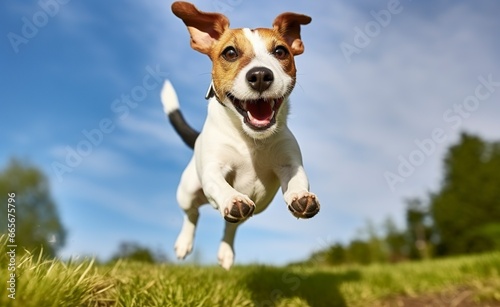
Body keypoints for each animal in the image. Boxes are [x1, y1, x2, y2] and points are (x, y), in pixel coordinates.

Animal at [164, 1, 320, 270]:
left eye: (280, 51)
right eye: (230, 53)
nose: (260, 76)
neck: (252, 139)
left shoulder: (290, 164)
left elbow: (297, 180)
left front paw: (300, 196)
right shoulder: (213, 169)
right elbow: (219, 184)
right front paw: (231, 198)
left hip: (251, 210)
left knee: (231, 227)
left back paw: (226, 252)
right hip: (187, 190)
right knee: (192, 214)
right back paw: (184, 242)